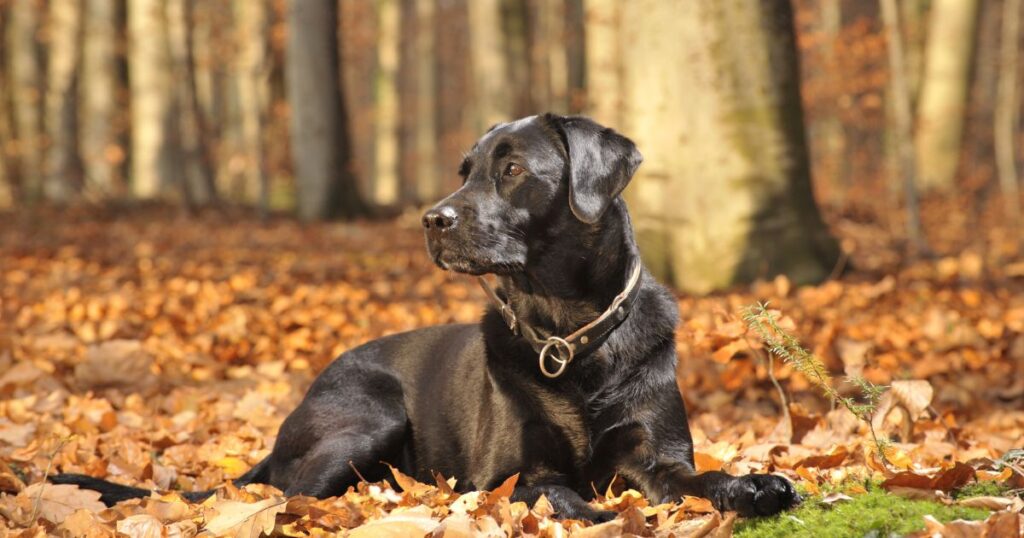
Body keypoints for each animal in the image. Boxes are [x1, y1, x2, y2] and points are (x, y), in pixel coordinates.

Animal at [54, 113, 798, 520]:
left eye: (512, 169)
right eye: (464, 170)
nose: (430, 220)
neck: (568, 333)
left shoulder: (653, 454)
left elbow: (698, 479)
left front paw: (753, 484)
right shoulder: (508, 475)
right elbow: (552, 493)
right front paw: (591, 512)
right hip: (368, 417)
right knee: (291, 494)